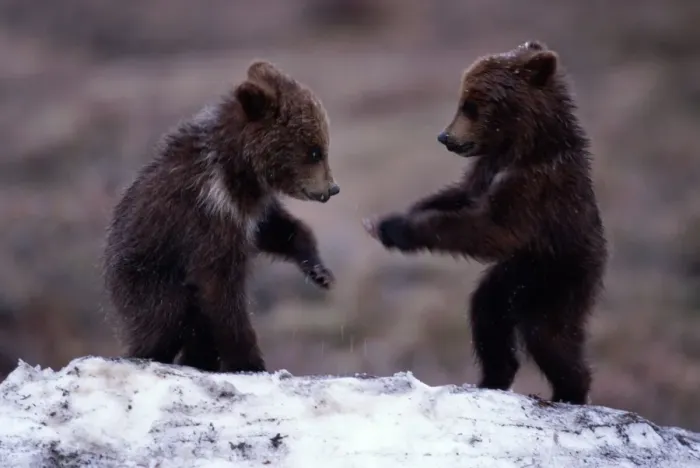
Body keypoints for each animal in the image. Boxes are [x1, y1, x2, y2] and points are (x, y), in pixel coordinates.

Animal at [103, 60, 339, 374]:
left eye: (323, 147)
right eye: (315, 151)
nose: (333, 188)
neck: (238, 171)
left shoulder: (247, 210)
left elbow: (277, 229)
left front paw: (319, 270)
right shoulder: (208, 214)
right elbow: (220, 288)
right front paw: (250, 361)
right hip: (146, 277)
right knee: (167, 317)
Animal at [363, 41, 607, 405]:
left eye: (471, 105)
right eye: (463, 99)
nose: (445, 136)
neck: (524, 147)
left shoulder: (535, 189)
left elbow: (492, 230)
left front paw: (400, 231)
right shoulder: (487, 168)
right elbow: (460, 195)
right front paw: (390, 219)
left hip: (558, 275)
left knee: (548, 334)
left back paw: (570, 390)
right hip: (516, 276)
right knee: (488, 311)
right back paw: (493, 376)